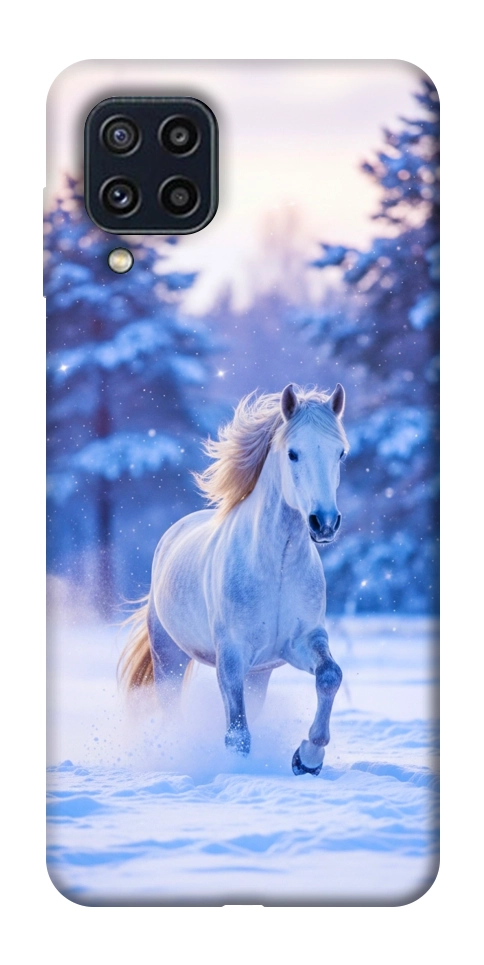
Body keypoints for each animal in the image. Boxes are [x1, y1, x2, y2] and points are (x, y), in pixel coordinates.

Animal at [119, 382, 349, 775]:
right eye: (293, 453)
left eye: (340, 453)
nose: (324, 523)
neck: (276, 567)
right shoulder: (231, 656)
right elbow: (237, 734)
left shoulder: (301, 642)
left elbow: (330, 676)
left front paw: (307, 758)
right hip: (169, 657)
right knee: (171, 709)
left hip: (259, 674)